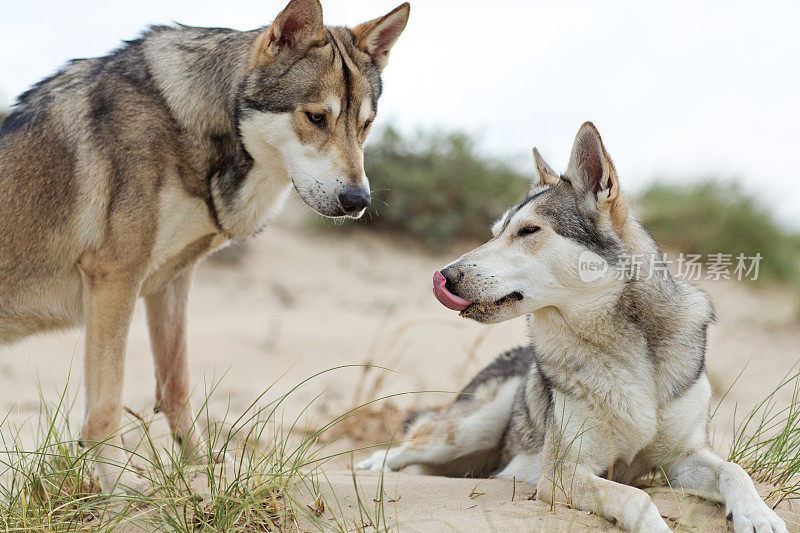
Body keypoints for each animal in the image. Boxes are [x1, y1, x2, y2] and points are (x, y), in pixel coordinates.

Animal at [0, 0, 410, 492]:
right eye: (316, 117)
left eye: (365, 126)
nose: (358, 201)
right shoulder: (115, 277)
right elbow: (105, 409)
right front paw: (121, 493)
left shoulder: (168, 281)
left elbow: (176, 387)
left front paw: (206, 475)